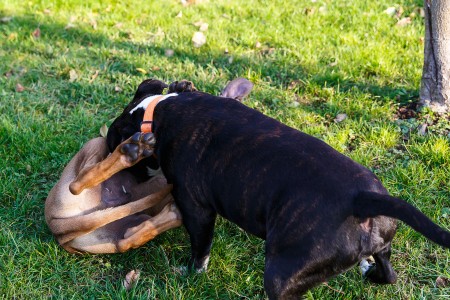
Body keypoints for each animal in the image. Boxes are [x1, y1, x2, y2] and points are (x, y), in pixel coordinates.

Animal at [107, 78, 448, 298]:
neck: (156, 112)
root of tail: (361, 199)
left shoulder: (197, 209)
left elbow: (200, 247)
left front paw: (191, 273)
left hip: (281, 274)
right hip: (381, 246)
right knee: (388, 274)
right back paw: (369, 272)